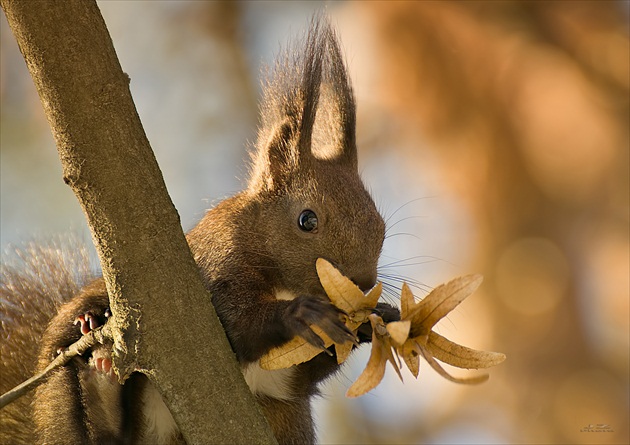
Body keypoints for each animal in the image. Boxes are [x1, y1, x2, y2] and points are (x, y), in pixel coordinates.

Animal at [1, 15, 400, 442]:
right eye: (307, 220)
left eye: (381, 227)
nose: (362, 284)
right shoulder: (215, 263)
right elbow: (234, 324)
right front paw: (299, 313)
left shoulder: (285, 381)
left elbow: (304, 376)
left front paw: (379, 318)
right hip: (60, 391)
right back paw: (98, 367)